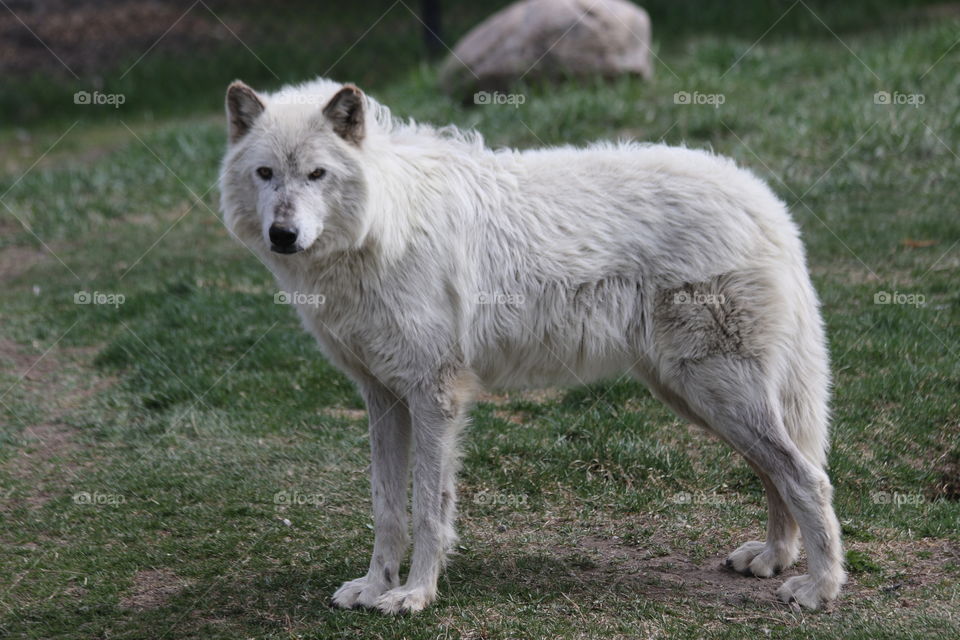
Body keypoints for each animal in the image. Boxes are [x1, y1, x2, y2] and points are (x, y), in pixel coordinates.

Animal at [216, 77, 840, 612]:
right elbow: (386, 507)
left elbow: (427, 511)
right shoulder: (383, 397)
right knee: (778, 471)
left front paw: (415, 595)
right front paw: (374, 587)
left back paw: (819, 587)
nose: (283, 235)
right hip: (696, 396)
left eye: (317, 174)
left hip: (714, 392)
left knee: (806, 476)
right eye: (266, 173)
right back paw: (773, 558)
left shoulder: (435, 396)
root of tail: (765, 200)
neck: (384, 224)